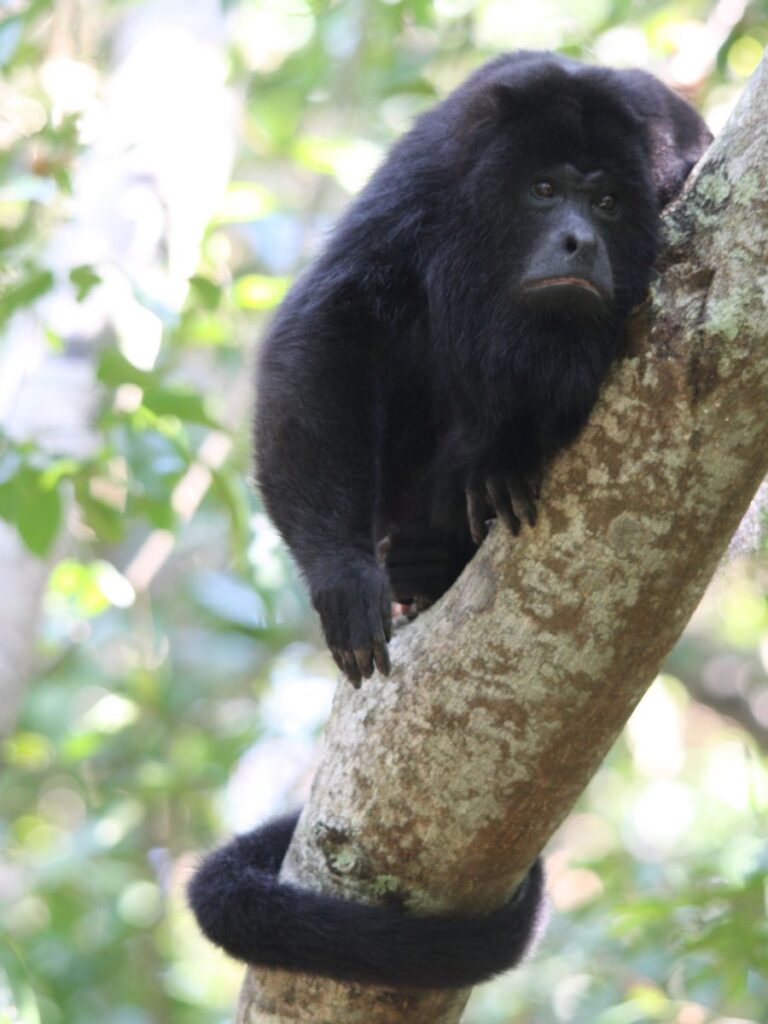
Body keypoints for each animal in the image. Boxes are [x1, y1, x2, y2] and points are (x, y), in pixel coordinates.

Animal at [254, 51, 712, 686]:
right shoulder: (432, 172)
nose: (581, 240)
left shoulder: (681, 156)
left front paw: (505, 454)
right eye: (543, 189)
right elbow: (334, 320)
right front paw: (343, 574)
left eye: (608, 203)